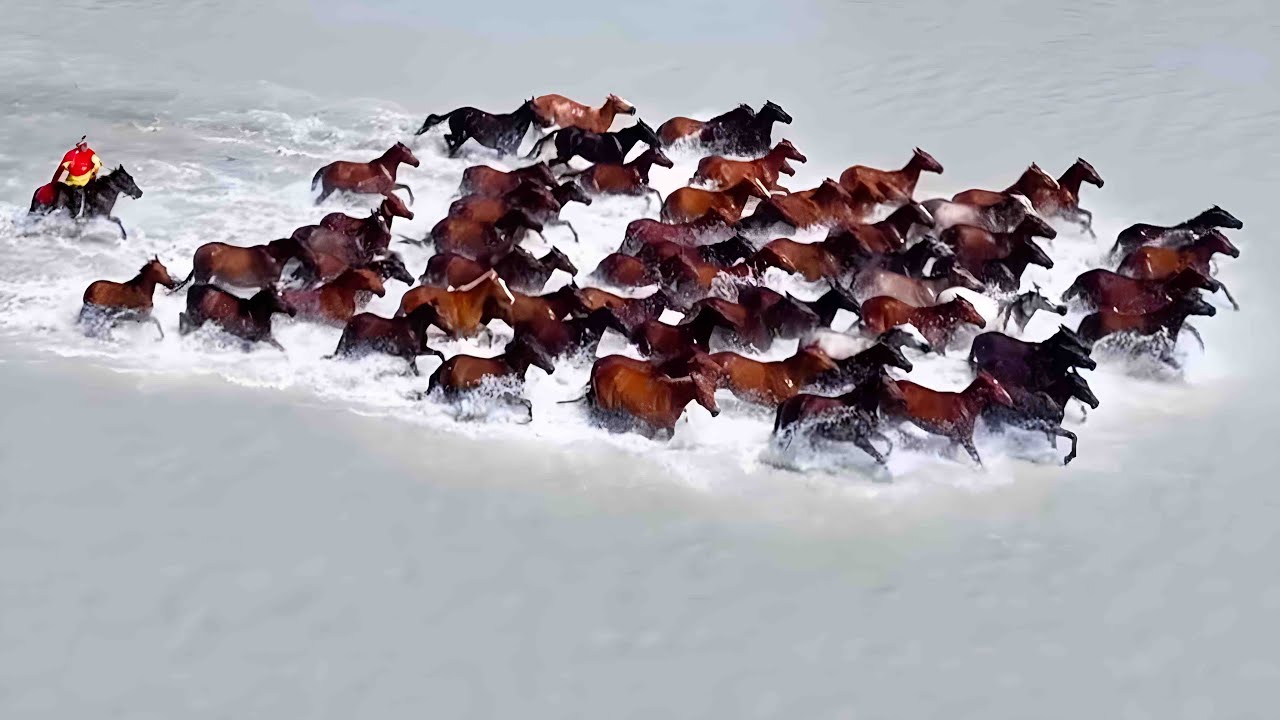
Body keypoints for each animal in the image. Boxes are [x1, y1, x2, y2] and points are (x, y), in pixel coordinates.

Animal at [585, 353, 725, 438]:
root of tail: (598, 364)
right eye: (701, 390)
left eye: (713, 390)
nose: (716, 411)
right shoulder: (661, 426)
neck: (672, 396)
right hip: (604, 405)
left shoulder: (660, 427)